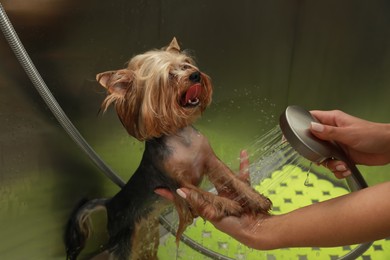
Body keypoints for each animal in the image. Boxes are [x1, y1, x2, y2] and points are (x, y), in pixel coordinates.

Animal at [64, 37, 272, 258]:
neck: (181, 138)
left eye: (186, 65)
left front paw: (255, 199)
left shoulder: (210, 160)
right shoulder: (177, 182)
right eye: (170, 76)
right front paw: (229, 204)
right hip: (126, 239)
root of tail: (111, 202)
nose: (196, 75)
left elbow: (233, 179)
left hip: (148, 232)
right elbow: (201, 193)